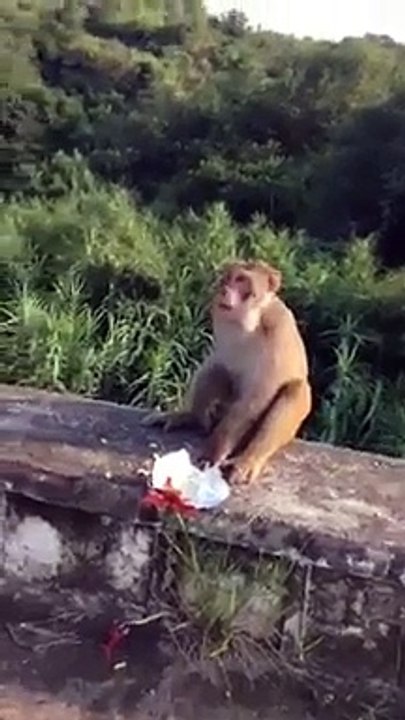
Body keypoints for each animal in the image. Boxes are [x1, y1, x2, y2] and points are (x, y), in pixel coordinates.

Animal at [142, 260, 312, 485]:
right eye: (226, 278)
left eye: (241, 280)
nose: (224, 290)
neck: (250, 322)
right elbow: (220, 362)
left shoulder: (277, 331)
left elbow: (257, 397)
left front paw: (217, 450)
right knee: (215, 368)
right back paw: (191, 417)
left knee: (295, 391)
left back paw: (249, 459)